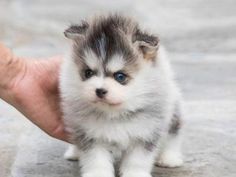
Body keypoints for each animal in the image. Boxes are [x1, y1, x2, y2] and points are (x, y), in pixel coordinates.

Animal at [60, 14, 183, 177]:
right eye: (88, 73)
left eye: (120, 76)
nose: (99, 90)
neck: (114, 113)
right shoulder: (89, 134)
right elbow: (95, 158)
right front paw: (98, 173)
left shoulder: (146, 132)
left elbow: (137, 159)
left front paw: (135, 173)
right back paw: (74, 153)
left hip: (172, 110)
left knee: (172, 135)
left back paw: (169, 158)